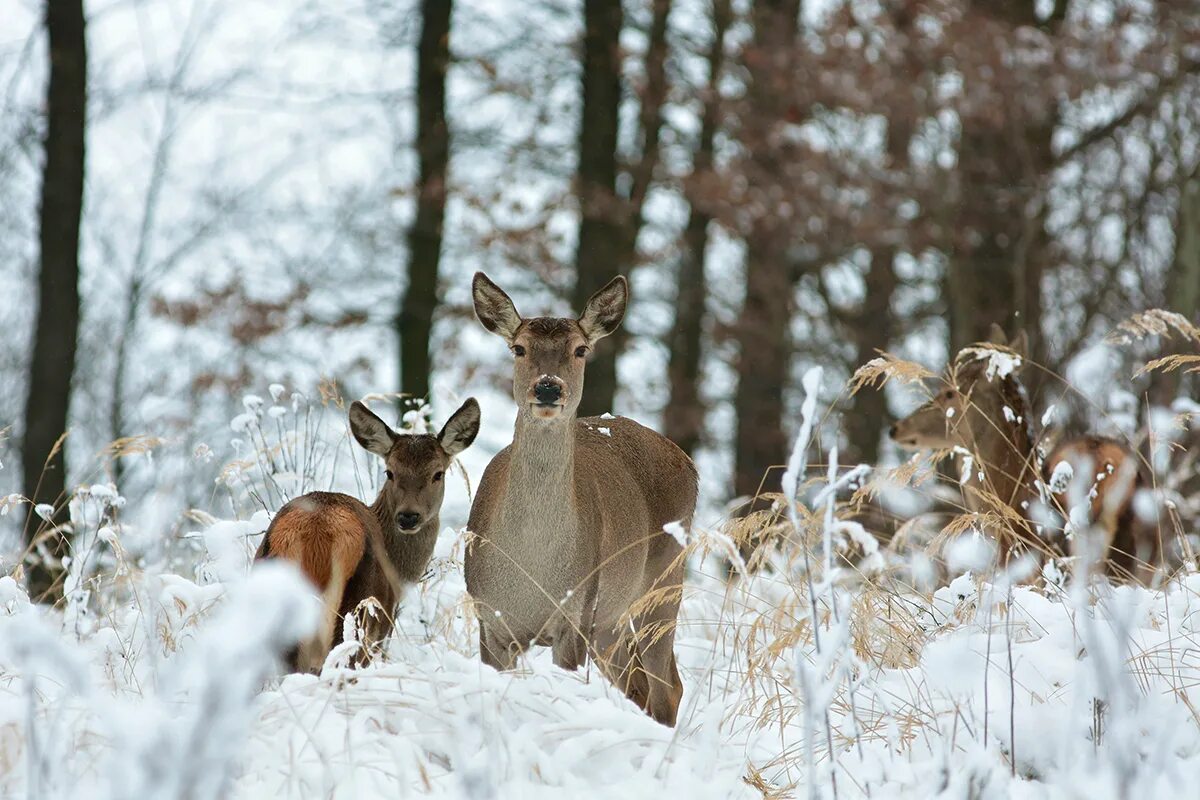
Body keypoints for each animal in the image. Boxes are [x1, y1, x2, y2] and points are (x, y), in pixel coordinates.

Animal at [255, 398, 480, 671]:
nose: (408, 516)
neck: (399, 574)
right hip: (357, 616)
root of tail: (315, 534)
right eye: (390, 472)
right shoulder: (383, 627)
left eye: (438, 473)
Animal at [463, 272, 700, 729]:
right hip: (610, 621)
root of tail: (688, 461)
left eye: (580, 349)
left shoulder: (574, 614)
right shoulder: (490, 621)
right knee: (638, 683)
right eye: (519, 348)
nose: (548, 387)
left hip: (663, 582)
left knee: (668, 687)